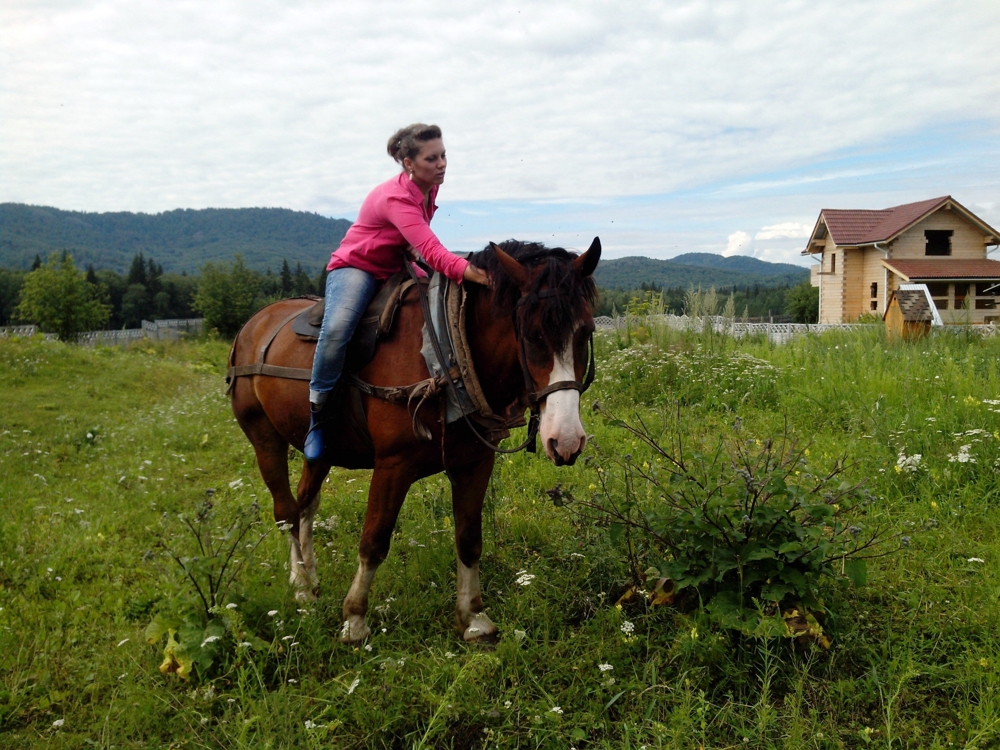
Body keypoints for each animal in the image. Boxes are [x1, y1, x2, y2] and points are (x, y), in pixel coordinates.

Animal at [230, 238, 596, 644]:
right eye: (531, 335)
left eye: (586, 331)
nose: (566, 441)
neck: (448, 352)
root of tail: (252, 325)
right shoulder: (393, 465)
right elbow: (373, 541)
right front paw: (354, 621)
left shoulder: (474, 462)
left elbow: (469, 537)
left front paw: (474, 617)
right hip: (264, 438)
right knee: (286, 512)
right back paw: (300, 589)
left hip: (320, 449)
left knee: (306, 503)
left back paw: (309, 577)